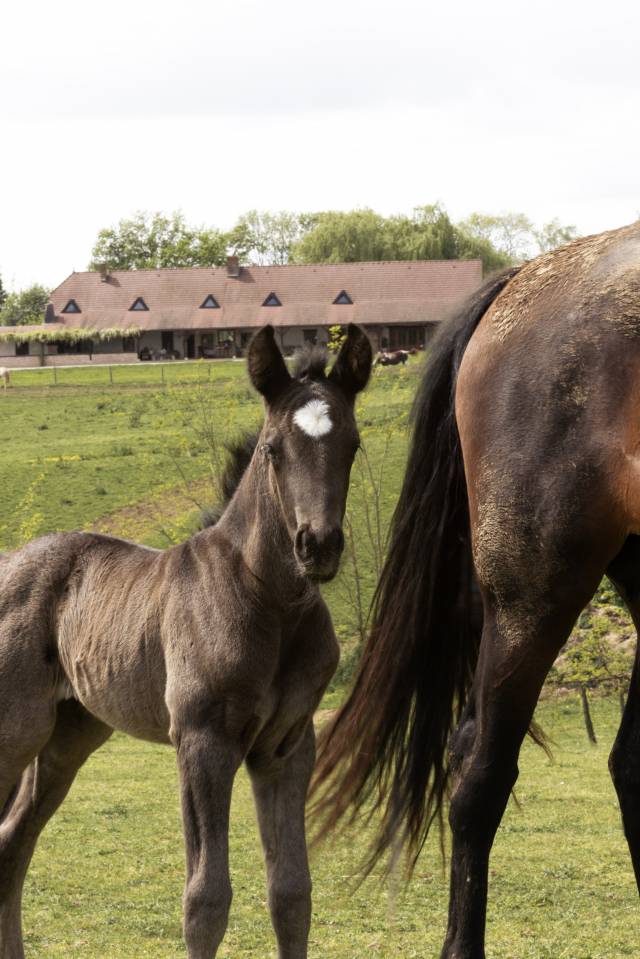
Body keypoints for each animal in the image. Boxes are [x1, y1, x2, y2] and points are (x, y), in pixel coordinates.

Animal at [0, 323, 372, 959]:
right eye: (272, 449)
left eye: (351, 445)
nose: (317, 545)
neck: (270, 605)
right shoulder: (202, 740)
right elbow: (206, 899)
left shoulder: (287, 747)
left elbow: (292, 893)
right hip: (14, 730)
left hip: (68, 737)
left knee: (13, 844)